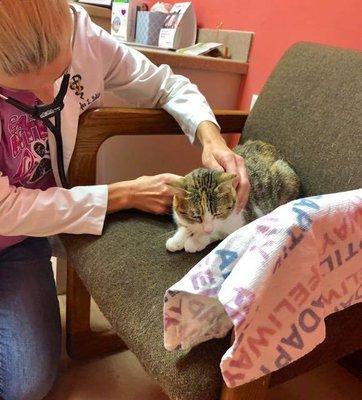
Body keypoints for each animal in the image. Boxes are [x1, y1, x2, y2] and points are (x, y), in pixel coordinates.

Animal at [166, 141, 300, 253]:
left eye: (218, 214)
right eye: (196, 216)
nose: (207, 229)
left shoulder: (240, 221)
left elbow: (217, 232)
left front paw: (196, 241)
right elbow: (185, 226)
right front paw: (177, 240)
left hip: (286, 176)